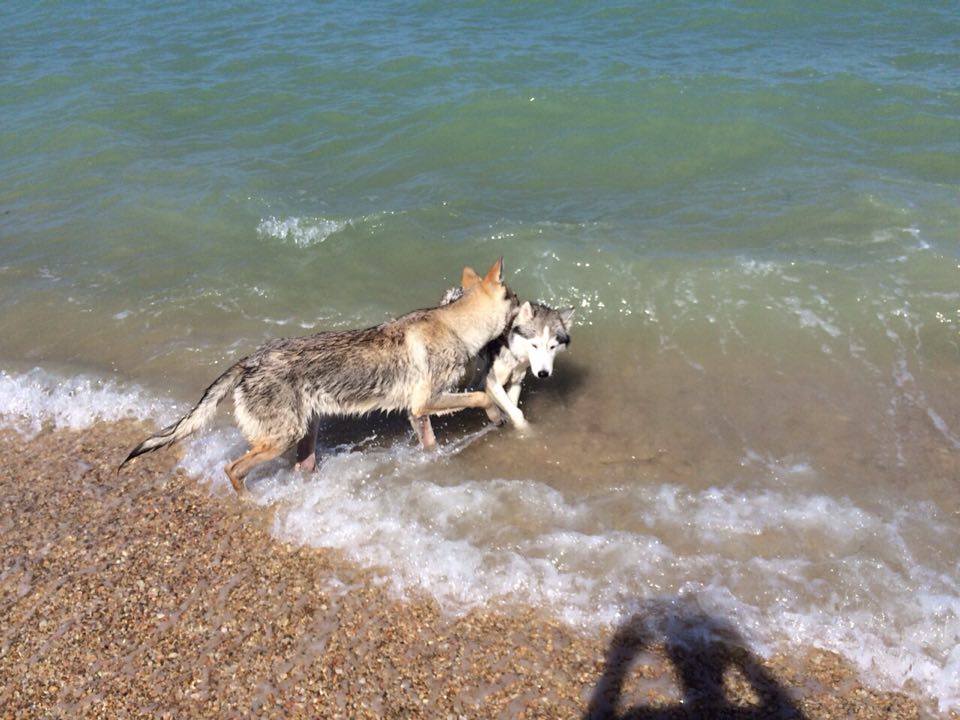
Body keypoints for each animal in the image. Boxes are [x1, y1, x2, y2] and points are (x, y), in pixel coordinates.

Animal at [122, 260, 516, 496]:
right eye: (515, 298)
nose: (528, 303)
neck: (456, 326)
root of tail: (249, 361)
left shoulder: (416, 412)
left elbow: (430, 444)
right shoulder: (426, 402)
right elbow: (482, 396)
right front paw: (497, 416)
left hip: (306, 434)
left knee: (301, 467)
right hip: (281, 438)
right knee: (232, 468)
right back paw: (249, 503)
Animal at [440, 288, 572, 434]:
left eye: (552, 347)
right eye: (534, 345)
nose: (543, 373)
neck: (512, 349)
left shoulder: (516, 381)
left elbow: (512, 407)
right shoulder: (493, 382)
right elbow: (516, 412)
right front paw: (527, 431)